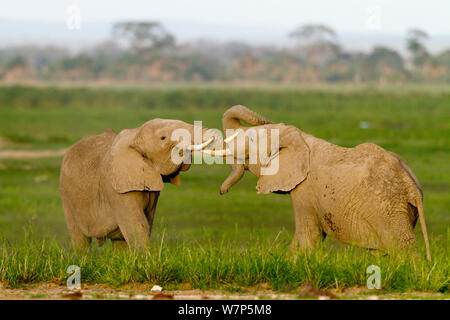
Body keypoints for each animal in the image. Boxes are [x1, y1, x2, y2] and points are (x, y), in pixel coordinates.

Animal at [60, 119, 221, 249]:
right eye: (163, 138)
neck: (135, 135)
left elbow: (146, 223)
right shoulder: (115, 187)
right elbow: (137, 225)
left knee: (118, 242)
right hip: (66, 193)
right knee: (80, 240)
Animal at [206, 105, 430, 260]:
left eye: (251, 142)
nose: (222, 192)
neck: (300, 138)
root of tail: (412, 187)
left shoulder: (304, 190)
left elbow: (308, 235)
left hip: (388, 209)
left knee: (401, 247)